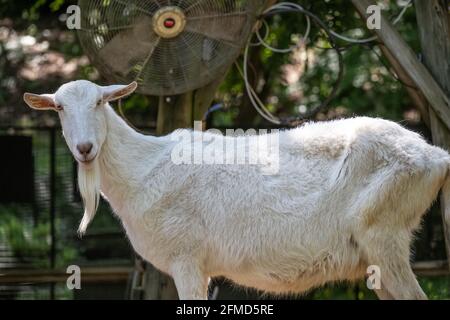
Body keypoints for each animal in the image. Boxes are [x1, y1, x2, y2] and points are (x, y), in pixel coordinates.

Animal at [25, 80, 450, 300]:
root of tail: (437, 157)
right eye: (59, 108)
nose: (85, 148)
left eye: (100, 101)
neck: (143, 170)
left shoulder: (186, 258)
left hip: (385, 231)